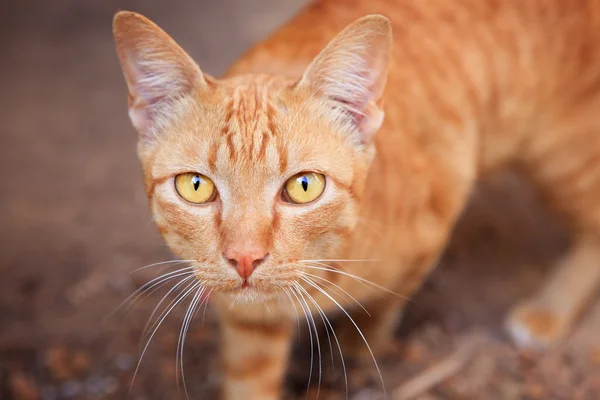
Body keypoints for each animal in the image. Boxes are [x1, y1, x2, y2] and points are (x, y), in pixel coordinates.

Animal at [112, 0, 600, 396]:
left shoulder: (432, 229)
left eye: (303, 186)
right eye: (196, 186)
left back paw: (548, 311)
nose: (245, 258)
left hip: (561, 156)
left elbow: (388, 302)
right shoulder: (247, 323)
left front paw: (361, 339)